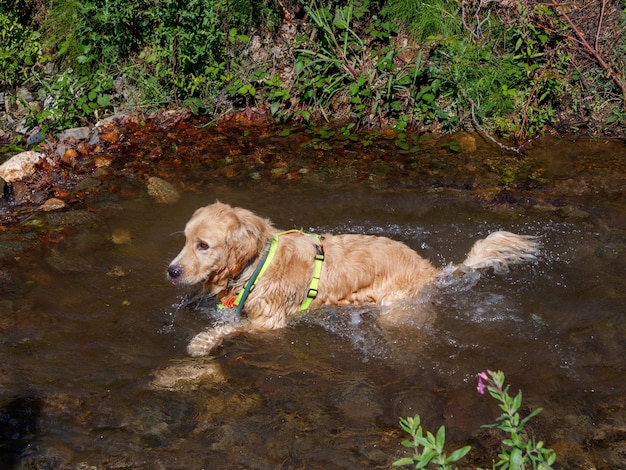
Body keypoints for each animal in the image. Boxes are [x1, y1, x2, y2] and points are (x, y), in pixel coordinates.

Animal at [166, 202, 536, 356]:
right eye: (184, 239)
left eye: (203, 245)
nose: (171, 270)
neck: (257, 263)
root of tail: (429, 270)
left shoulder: (270, 322)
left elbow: (228, 328)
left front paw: (202, 342)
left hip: (394, 312)